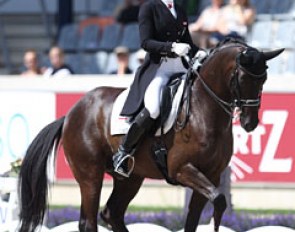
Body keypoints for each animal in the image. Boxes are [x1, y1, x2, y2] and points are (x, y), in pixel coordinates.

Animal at [17, 40, 284, 232]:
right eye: (242, 78)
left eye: (264, 78)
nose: (250, 123)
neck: (204, 109)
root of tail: (72, 113)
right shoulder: (182, 169)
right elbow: (218, 201)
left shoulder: (211, 175)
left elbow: (201, 215)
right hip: (89, 174)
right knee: (89, 221)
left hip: (130, 178)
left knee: (112, 213)